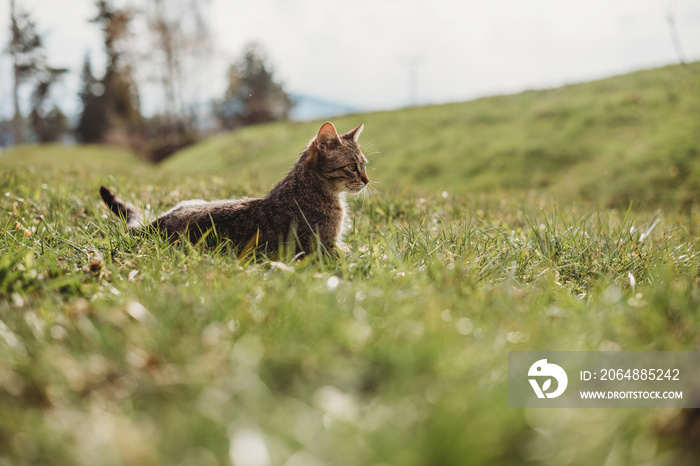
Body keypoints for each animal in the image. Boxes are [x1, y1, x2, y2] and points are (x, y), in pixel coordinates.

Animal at [102, 121, 372, 255]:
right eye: (352, 166)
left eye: (364, 165)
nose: (367, 180)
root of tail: (154, 223)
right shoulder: (322, 248)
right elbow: (350, 253)